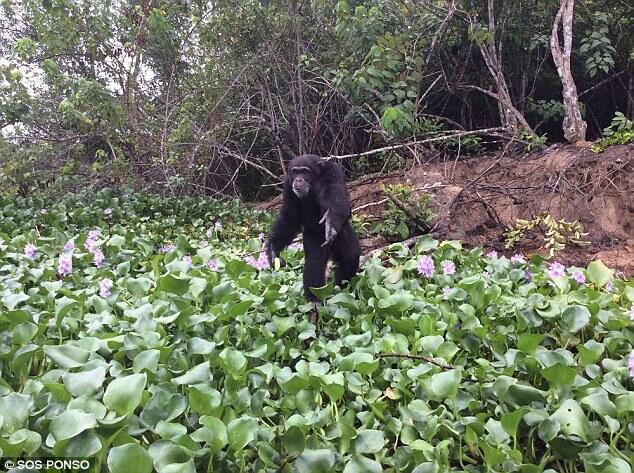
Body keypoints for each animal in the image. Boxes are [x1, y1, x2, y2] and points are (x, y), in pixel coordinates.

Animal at [262, 154, 360, 302]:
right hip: (314, 238)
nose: (298, 179)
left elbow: (337, 200)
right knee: (315, 262)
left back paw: (342, 289)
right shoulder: (287, 185)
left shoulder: (334, 173)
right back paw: (316, 299)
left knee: (350, 256)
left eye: (305, 171)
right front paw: (273, 249)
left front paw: (330, 223)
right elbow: (290, 218)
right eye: (295, 172)